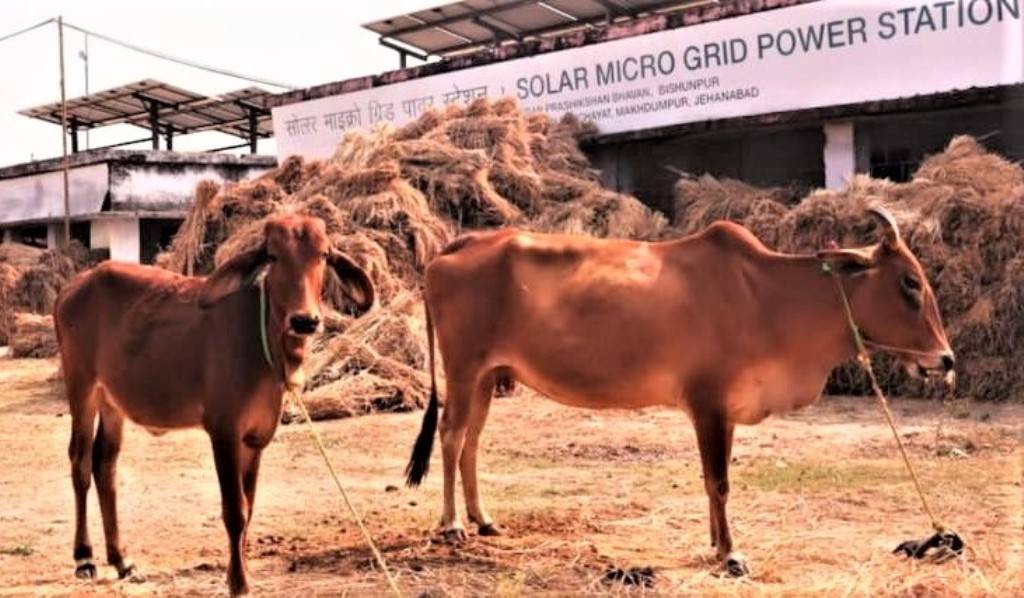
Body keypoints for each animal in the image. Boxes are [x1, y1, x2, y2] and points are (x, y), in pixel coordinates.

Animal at [54, 214, 374, 593]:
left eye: (324, 255)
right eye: (273, 255)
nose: (305, 320)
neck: (264, 344)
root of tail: (73, 287)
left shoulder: (256, 439)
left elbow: (249, 507)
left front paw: (242, 572)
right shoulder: (224, 432)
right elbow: (235, 510)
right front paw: (238, 582)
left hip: (112, 402)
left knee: (106, 465)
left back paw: (122, 559)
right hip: (82, 387)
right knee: (80, 462)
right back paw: (84, 557)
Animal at [407, 208, 950, 573]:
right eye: (909, 282)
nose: (945, 360)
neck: (766, 297)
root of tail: (459, 245)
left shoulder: (723, 412)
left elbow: (715, 479)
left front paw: (715, 542)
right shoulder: (708, 404)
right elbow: (719, 482)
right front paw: (730, 553)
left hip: (486, 376)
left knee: (471, 441)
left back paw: (483, 519)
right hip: (463, 369)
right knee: (451, 437)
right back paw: (453, 525)